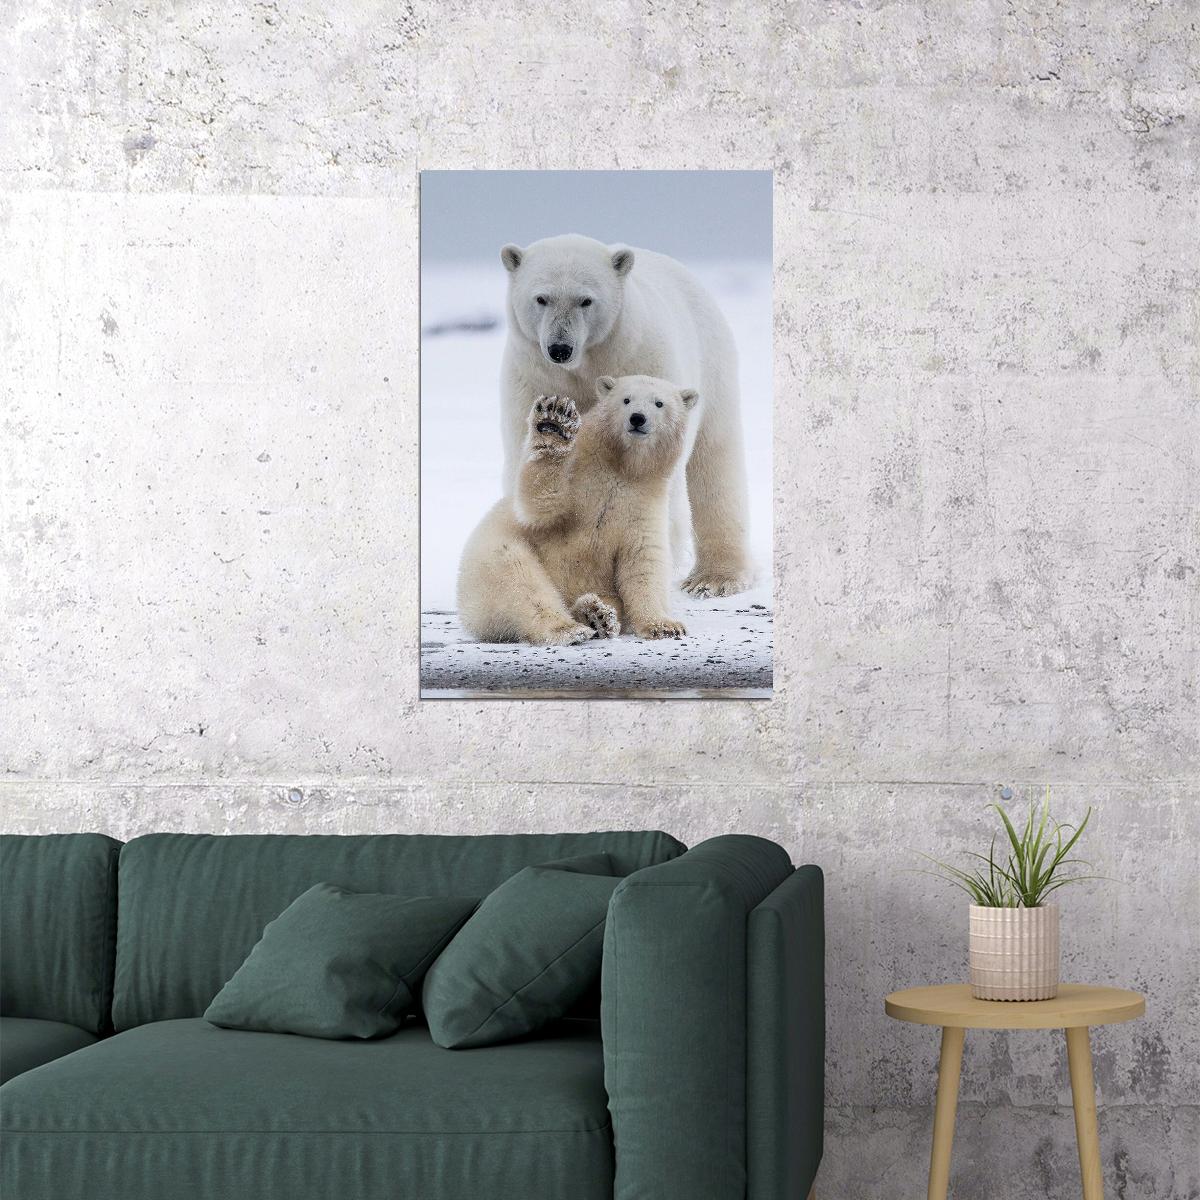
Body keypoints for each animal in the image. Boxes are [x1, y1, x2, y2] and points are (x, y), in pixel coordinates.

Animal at [457, 374, 699, 646]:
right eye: (626, 399)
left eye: (659, 403)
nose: (637, 418)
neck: (621, 468)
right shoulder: (578, 478)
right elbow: (540, 506)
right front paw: (554, 424)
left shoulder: (643, 502)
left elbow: (643, 561)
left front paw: (665, 626)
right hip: (489, 561)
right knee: (518, 578)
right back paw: (568, 628)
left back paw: (597, 615)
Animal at [498, 233, 751, 598]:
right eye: (541, 298)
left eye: (586, 300)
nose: (560, 349)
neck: (585, 366)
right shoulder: (533, 377)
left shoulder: (644, 361)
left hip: (714, 365)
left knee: (715, 462)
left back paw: (715, 577)